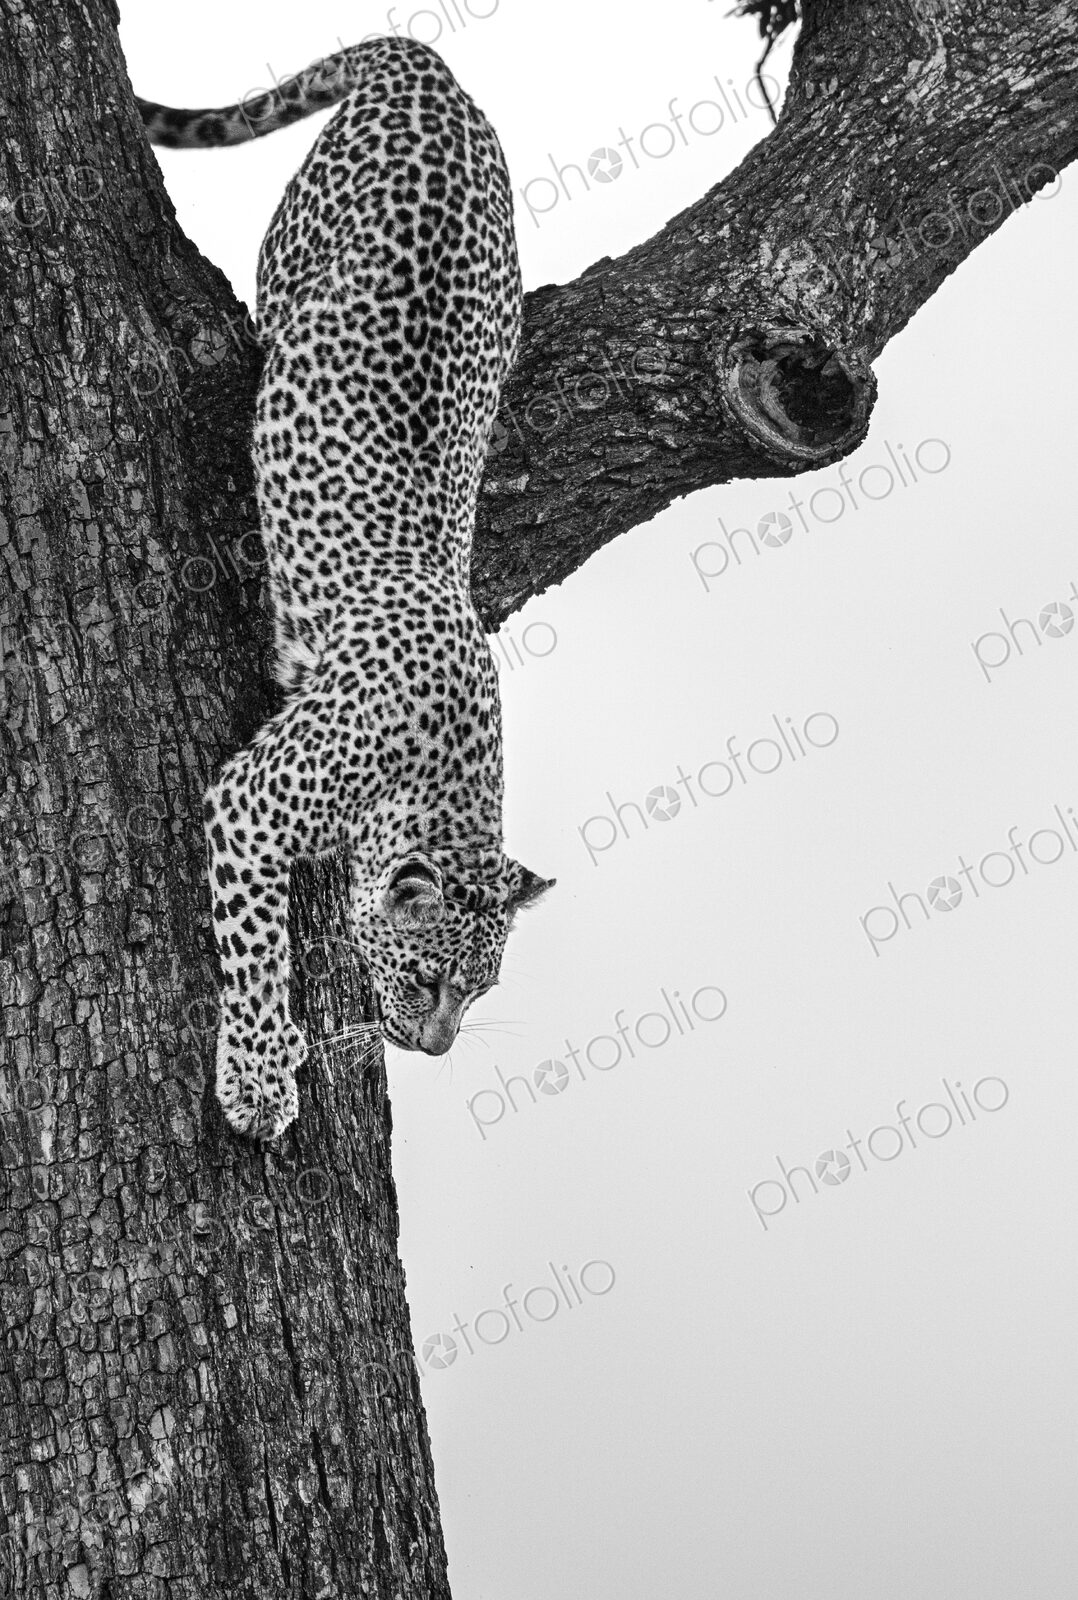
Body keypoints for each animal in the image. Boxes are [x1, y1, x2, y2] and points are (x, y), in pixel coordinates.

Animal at [138, 38, 554, 1142]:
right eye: (430, 980)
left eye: (482, 992)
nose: (438, 1048)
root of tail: (431, 70)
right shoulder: (251, 804)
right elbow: (254, 948)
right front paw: (256, 1076)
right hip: (295, 247)